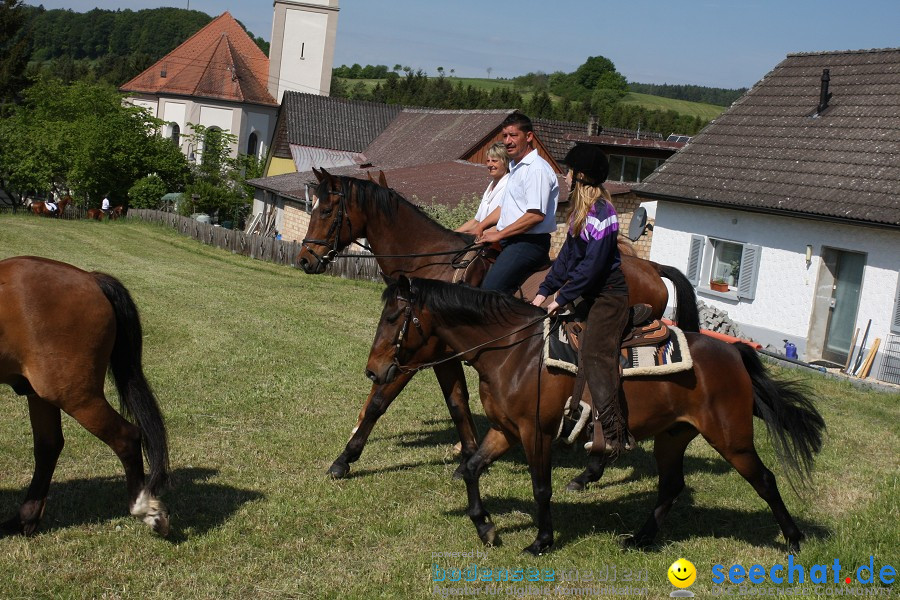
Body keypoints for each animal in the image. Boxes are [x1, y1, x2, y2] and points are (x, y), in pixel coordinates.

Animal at [0, 255, 171, 536]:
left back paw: (146, 510)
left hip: (74, 395)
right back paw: (23, 519)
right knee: (48, 446)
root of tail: (90, 278)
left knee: (127, 436)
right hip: (40, 393)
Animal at [298, 169, 704, 488]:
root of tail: (651, 268)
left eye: (327, 209)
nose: (305, 259)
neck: (432, 265)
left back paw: (589, 472)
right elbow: (458, 403)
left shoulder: (416, 355)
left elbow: (379, 401)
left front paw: (345, 459)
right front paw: (469, 455)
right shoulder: (444, 356)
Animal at [364, 278, 824, 556]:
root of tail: (734, 354)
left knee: (765, 480)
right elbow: (473, 468)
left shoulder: (536, 432)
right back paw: (639, 538)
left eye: (393, 317)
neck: (515, 353)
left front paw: (542, 541)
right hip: (673, 436)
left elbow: (541, 488)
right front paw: (486, 528)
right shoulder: (505, 430)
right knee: (671, 486)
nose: (373, 371)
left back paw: (794, 540)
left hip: (732, 438)